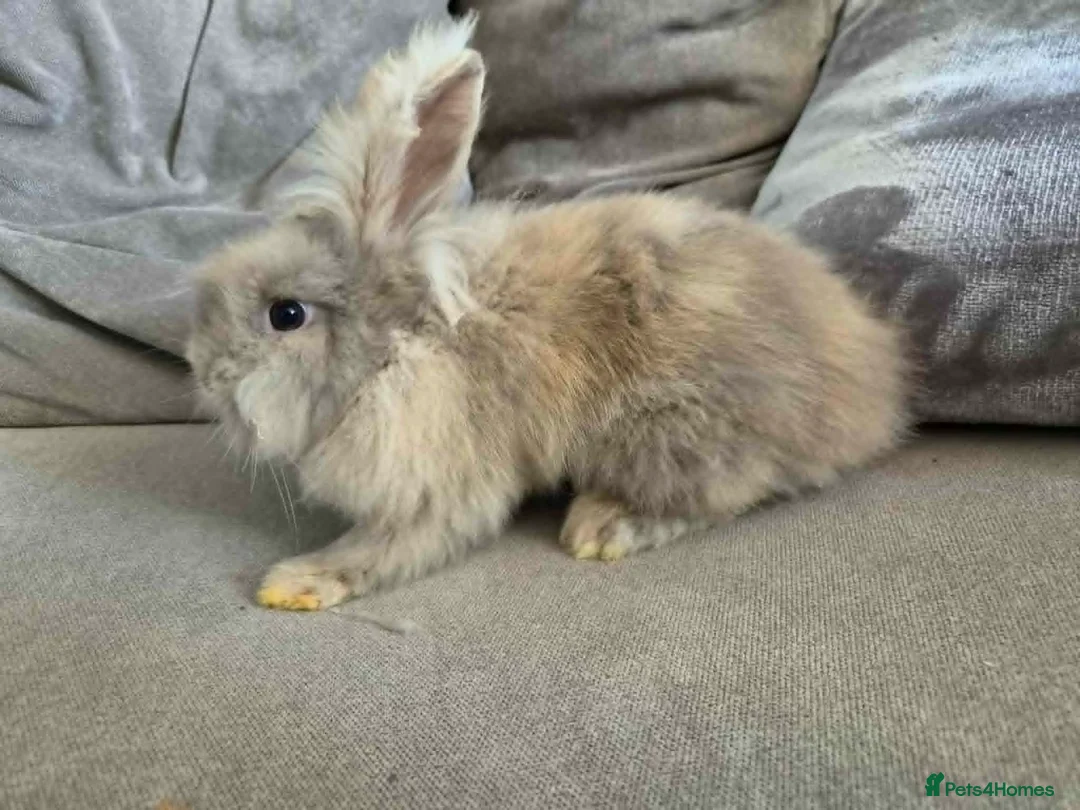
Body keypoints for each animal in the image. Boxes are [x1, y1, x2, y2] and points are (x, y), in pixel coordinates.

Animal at [186, 15, 908, 611]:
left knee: (726, 492)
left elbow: (389, 545)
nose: (201, 371)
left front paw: (295, 581)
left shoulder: (444, 481)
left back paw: (600, 525)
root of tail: (874, 389)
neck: (402, 345)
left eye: (285, 315)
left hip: (673, 429)